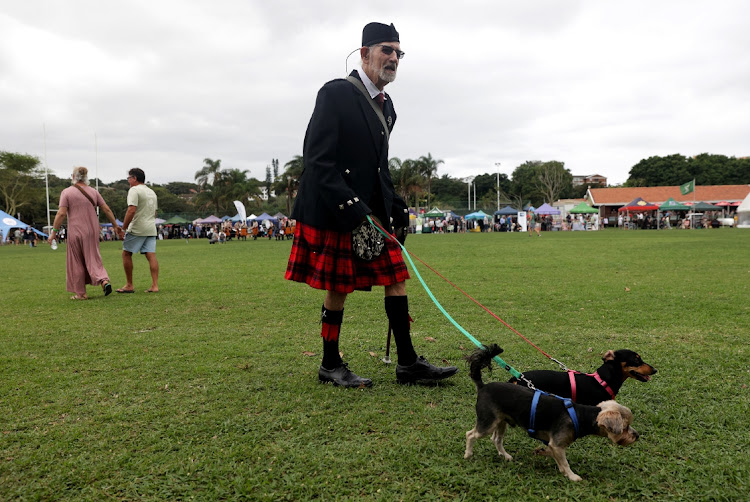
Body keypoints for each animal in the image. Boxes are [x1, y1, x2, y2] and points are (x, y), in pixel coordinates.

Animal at [468, 346, 636, 482]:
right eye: (625, 427)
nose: (637, 435)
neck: (581, 415)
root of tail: (483, 387)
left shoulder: (553, 444)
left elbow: (553, 455)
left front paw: (543, 454)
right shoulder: (557, 444)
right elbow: (565, 463)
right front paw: (573, 476)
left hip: (500, 421)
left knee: (496, 439)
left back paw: (505, 455)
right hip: (487, 422)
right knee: (470, 435)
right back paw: (468, 454)